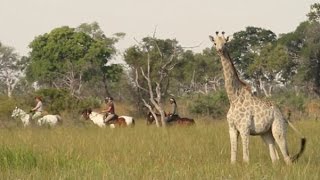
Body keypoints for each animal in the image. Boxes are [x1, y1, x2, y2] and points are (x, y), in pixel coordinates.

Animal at [209, 32, 306, 165]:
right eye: (215, 43)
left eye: (225, 42)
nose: (220, 50)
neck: (233, 99)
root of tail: (283, 115)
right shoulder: (232, 128)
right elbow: (233, 156)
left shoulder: (244, 128)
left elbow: (246, 158)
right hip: (265, 133)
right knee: (275, 158)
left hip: (278, 129)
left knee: (286, 156)